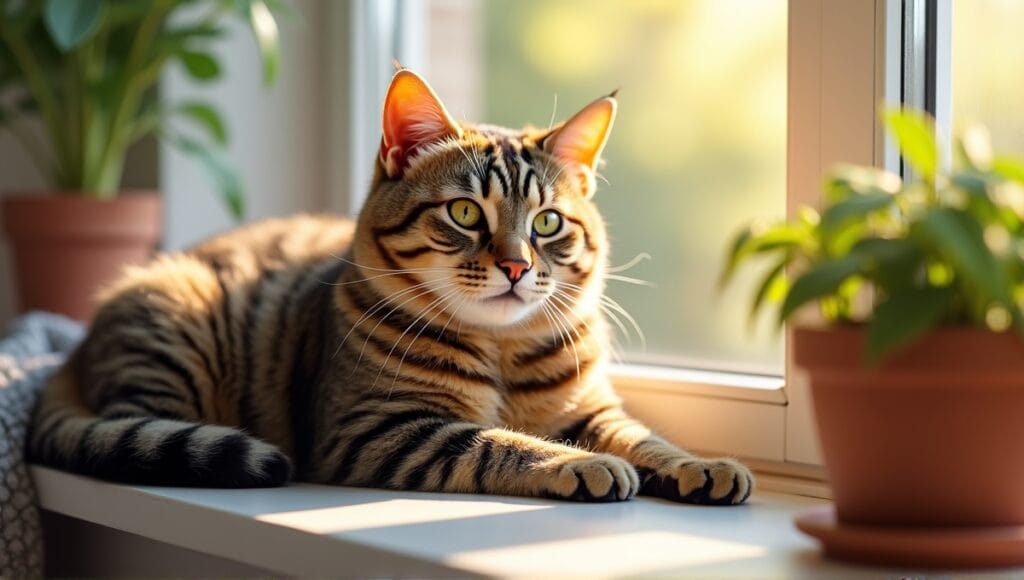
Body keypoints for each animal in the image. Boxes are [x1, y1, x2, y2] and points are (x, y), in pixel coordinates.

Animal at [29, 70, 753, 506]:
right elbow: (495, 442)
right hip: (170, 327)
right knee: (131, 424)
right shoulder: (379, 427)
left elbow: (644, 436)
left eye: (547, 223)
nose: (517, 267)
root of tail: (74, 353)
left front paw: (701, 463)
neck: (502, 349)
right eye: (465, 213)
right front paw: (574, 464)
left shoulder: (590, 409)